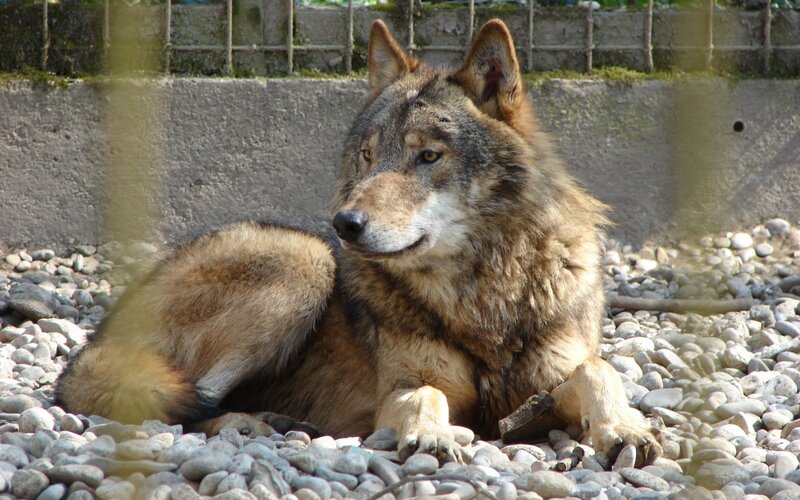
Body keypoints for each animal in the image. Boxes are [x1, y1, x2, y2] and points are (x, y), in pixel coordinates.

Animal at [56, 19, 660, 466]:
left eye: (428, 156)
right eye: (369, 156)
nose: (345, 223)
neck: (484, 294)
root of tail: (99, 338)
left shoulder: (548, 384)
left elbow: (599, 370)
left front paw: (623, 428)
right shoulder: (403, 387)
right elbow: (424, 395)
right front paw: (432, 434)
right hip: (305, 260)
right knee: (188, 405)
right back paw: (254, 424)